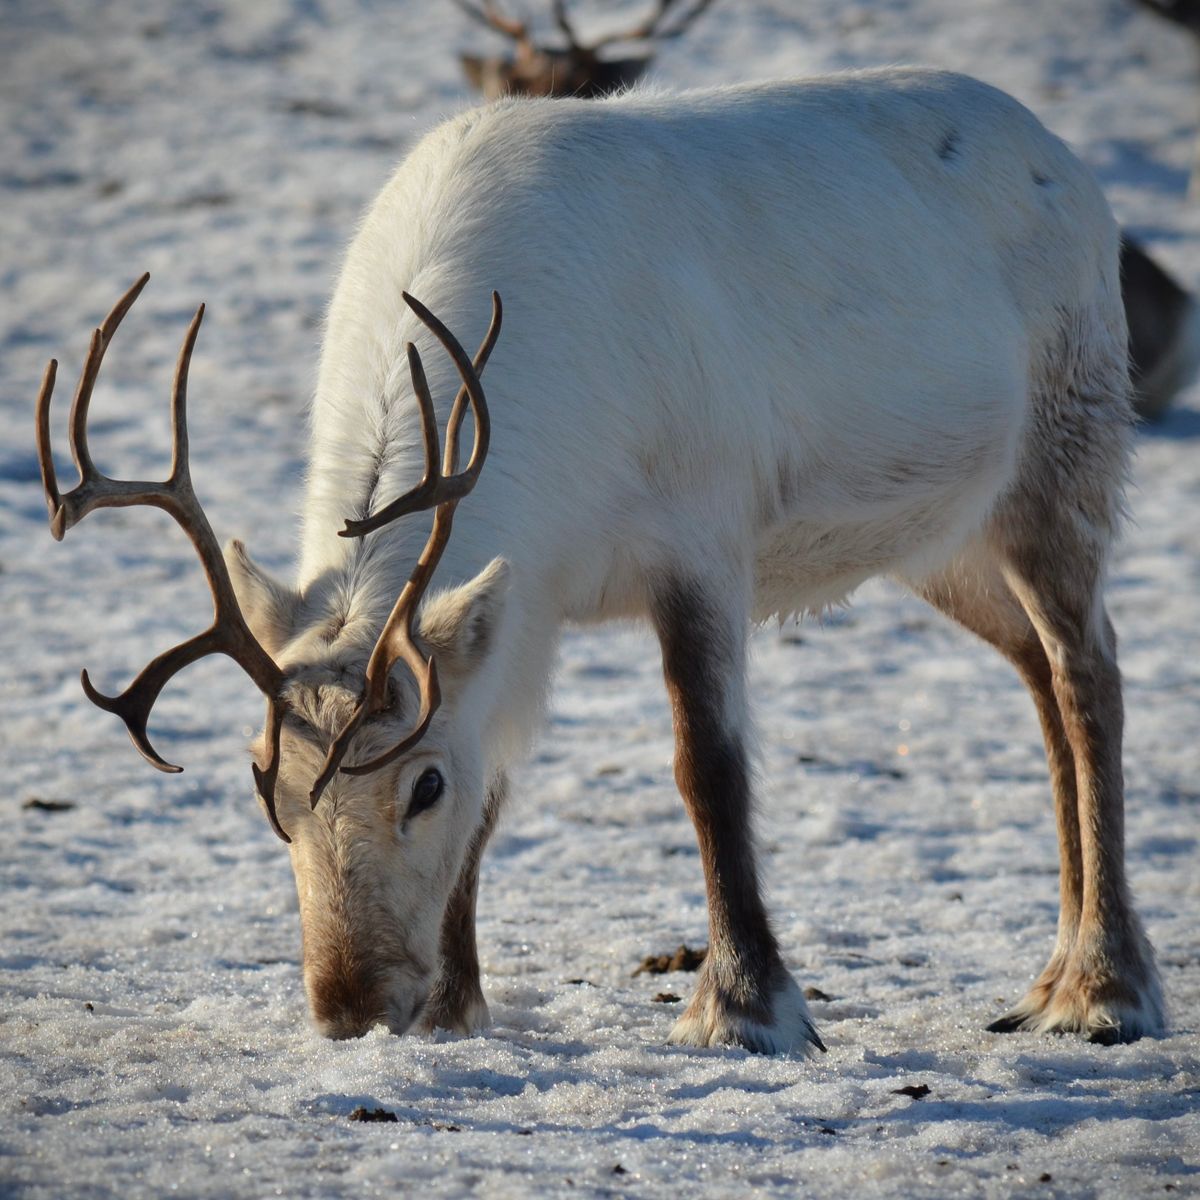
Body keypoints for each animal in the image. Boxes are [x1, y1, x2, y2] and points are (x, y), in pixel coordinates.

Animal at [37, 68, 1165, 1052]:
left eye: (422, 786)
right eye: (266, 782)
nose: (351, 1008)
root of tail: (1067, 159)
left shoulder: (701, 538)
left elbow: (707, 765)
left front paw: (747, 1008)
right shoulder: (527, 603)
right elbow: (502, 783)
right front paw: (455, 1007)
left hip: (1063, 458)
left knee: (1091, 673)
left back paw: (1105, 987)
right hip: (944, 543)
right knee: (1038, 677)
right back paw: (1052, 974)